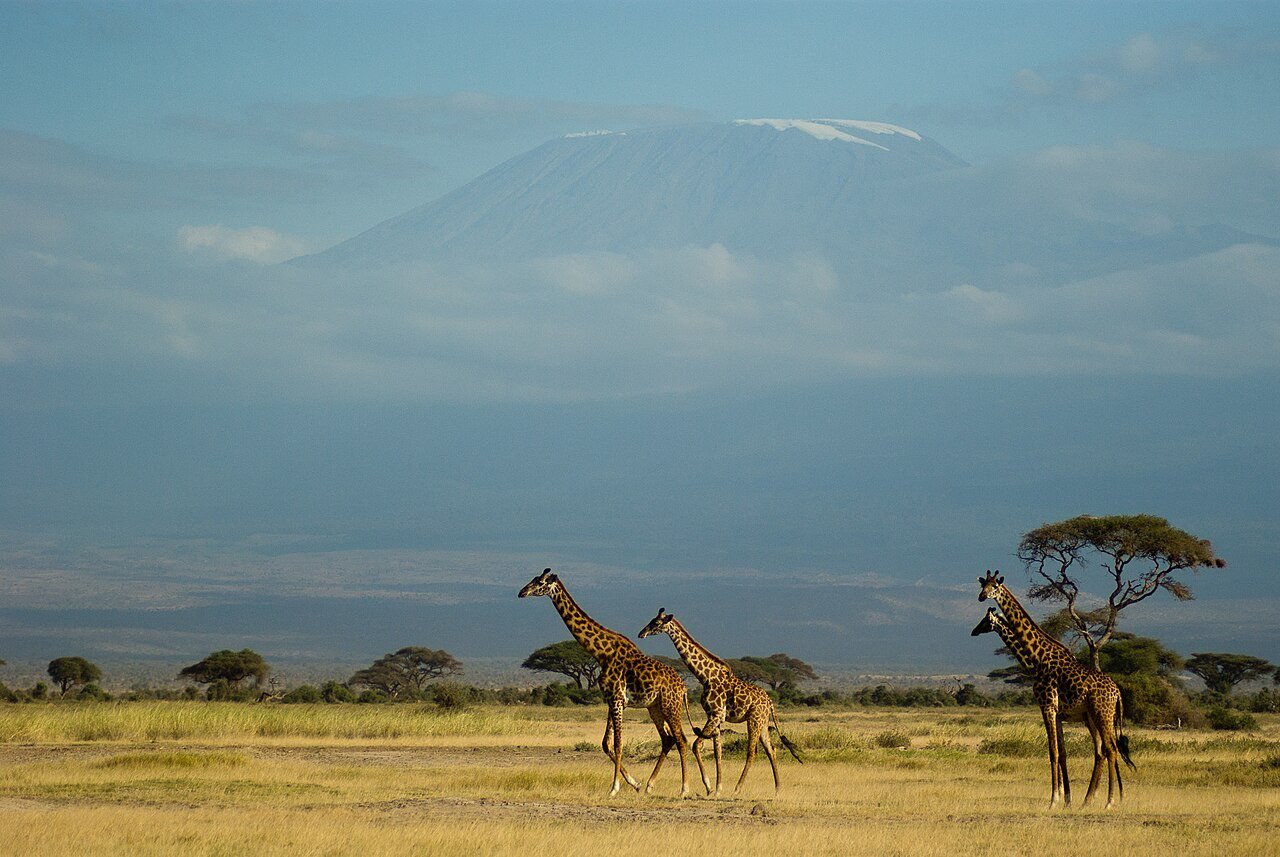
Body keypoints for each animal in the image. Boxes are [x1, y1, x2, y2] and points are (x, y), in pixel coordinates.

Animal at [518, 568, 692, 797]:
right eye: (534, 579)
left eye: (540, 582)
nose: (522, 592)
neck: (601, 653)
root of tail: (683, 688)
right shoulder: (612, 699)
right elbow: (605, 744)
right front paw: (634, 783)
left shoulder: (617, 699)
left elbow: (618, 744)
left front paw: (614, 788)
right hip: (655, 707)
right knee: (668, 739)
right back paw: (649, 785)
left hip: (671, 706)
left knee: (681, 739)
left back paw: (684, 789)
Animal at [638, 607, 803, 796]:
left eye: (656, 623)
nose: (641, 633)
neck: (705, 677)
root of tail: (769, 701)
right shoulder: (715, 716)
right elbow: (718, 751)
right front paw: (717, 789)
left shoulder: (716, 714)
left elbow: (696, 745)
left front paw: (709, 787)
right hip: (762, 721)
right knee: (771, 749)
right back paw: (777, 789)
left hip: (754, 720)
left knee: (752, 752)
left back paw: (738, 789)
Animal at [974, 570, 1136, 808]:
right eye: (983, 585)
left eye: (994, 587)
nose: (981, 597)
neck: (1036, 659)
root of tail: (1117, 693)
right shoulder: (1058, 712)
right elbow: (1063, 753)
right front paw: (1066, 799)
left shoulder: (1047, 706)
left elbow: (1053, 751)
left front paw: (1053, 800)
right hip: (1093, 717)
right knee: (1101, 751)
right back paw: (1088, 800)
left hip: (1102, 714)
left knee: (1111, 749)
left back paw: (1109, 801)